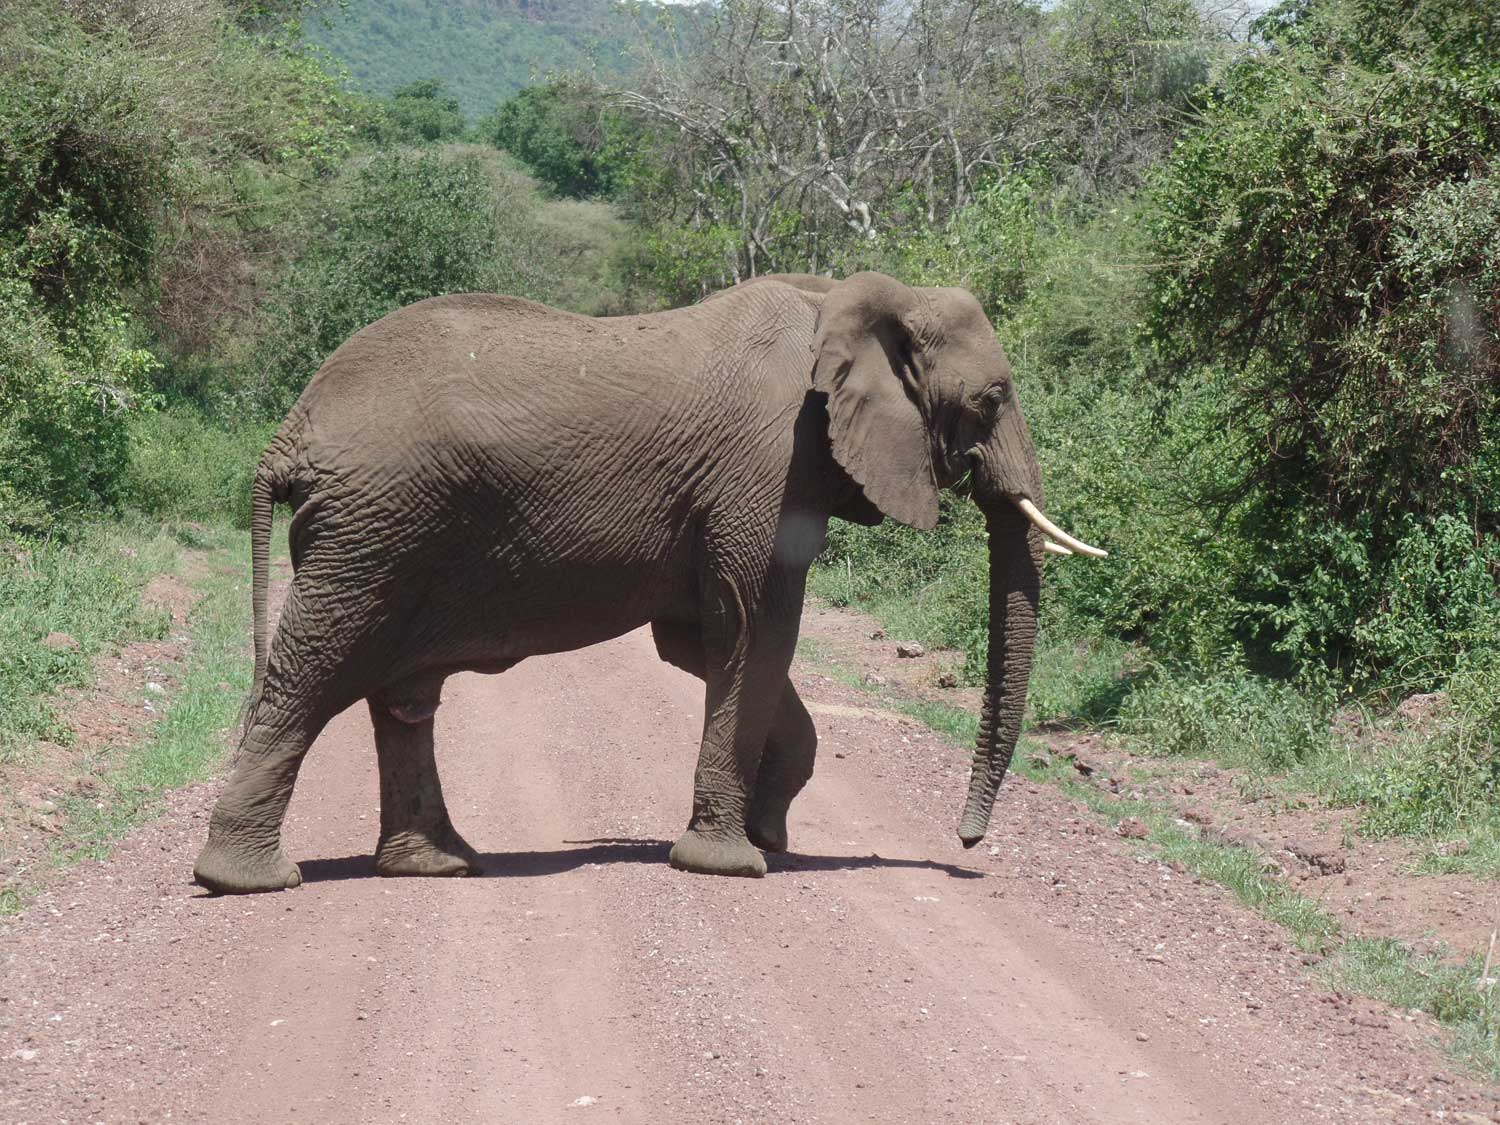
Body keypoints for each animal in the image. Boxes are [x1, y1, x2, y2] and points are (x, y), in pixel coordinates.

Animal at [192, 270, 1106, 894]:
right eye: (992, 400)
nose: (967, 846)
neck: (846, 296)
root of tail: (290, 433)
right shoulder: (766, 468)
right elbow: (756, 630)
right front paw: (734, 862)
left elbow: (698, 641)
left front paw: (770, 832)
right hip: (372, 532)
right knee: (313, 669)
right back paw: (250, 879)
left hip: (391, 532)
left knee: (401, 695)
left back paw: (437, 866)